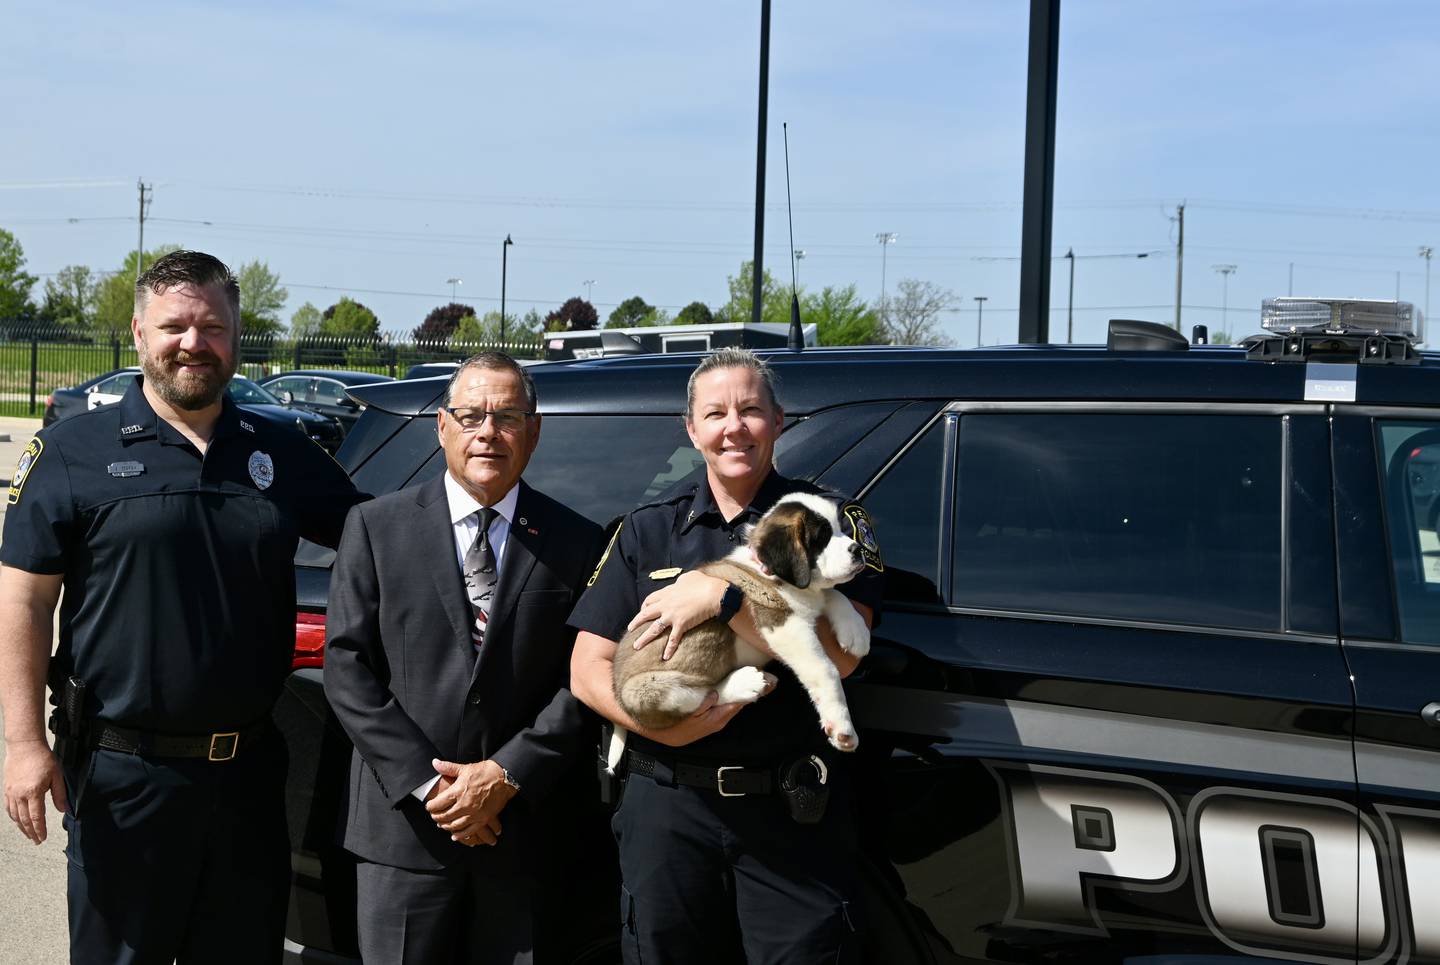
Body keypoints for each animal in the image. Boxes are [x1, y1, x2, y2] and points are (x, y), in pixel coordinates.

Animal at [604, 495, 864, 777]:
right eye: (822, 536)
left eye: (839, 527)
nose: (858, 549)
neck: (776, 575)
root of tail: (617, 692)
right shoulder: (782, 622)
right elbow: (825, 669)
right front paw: (843, 728)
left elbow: (833, 594)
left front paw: (856, 631)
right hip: (644, 691)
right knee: (703, 697)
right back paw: (747, 682)